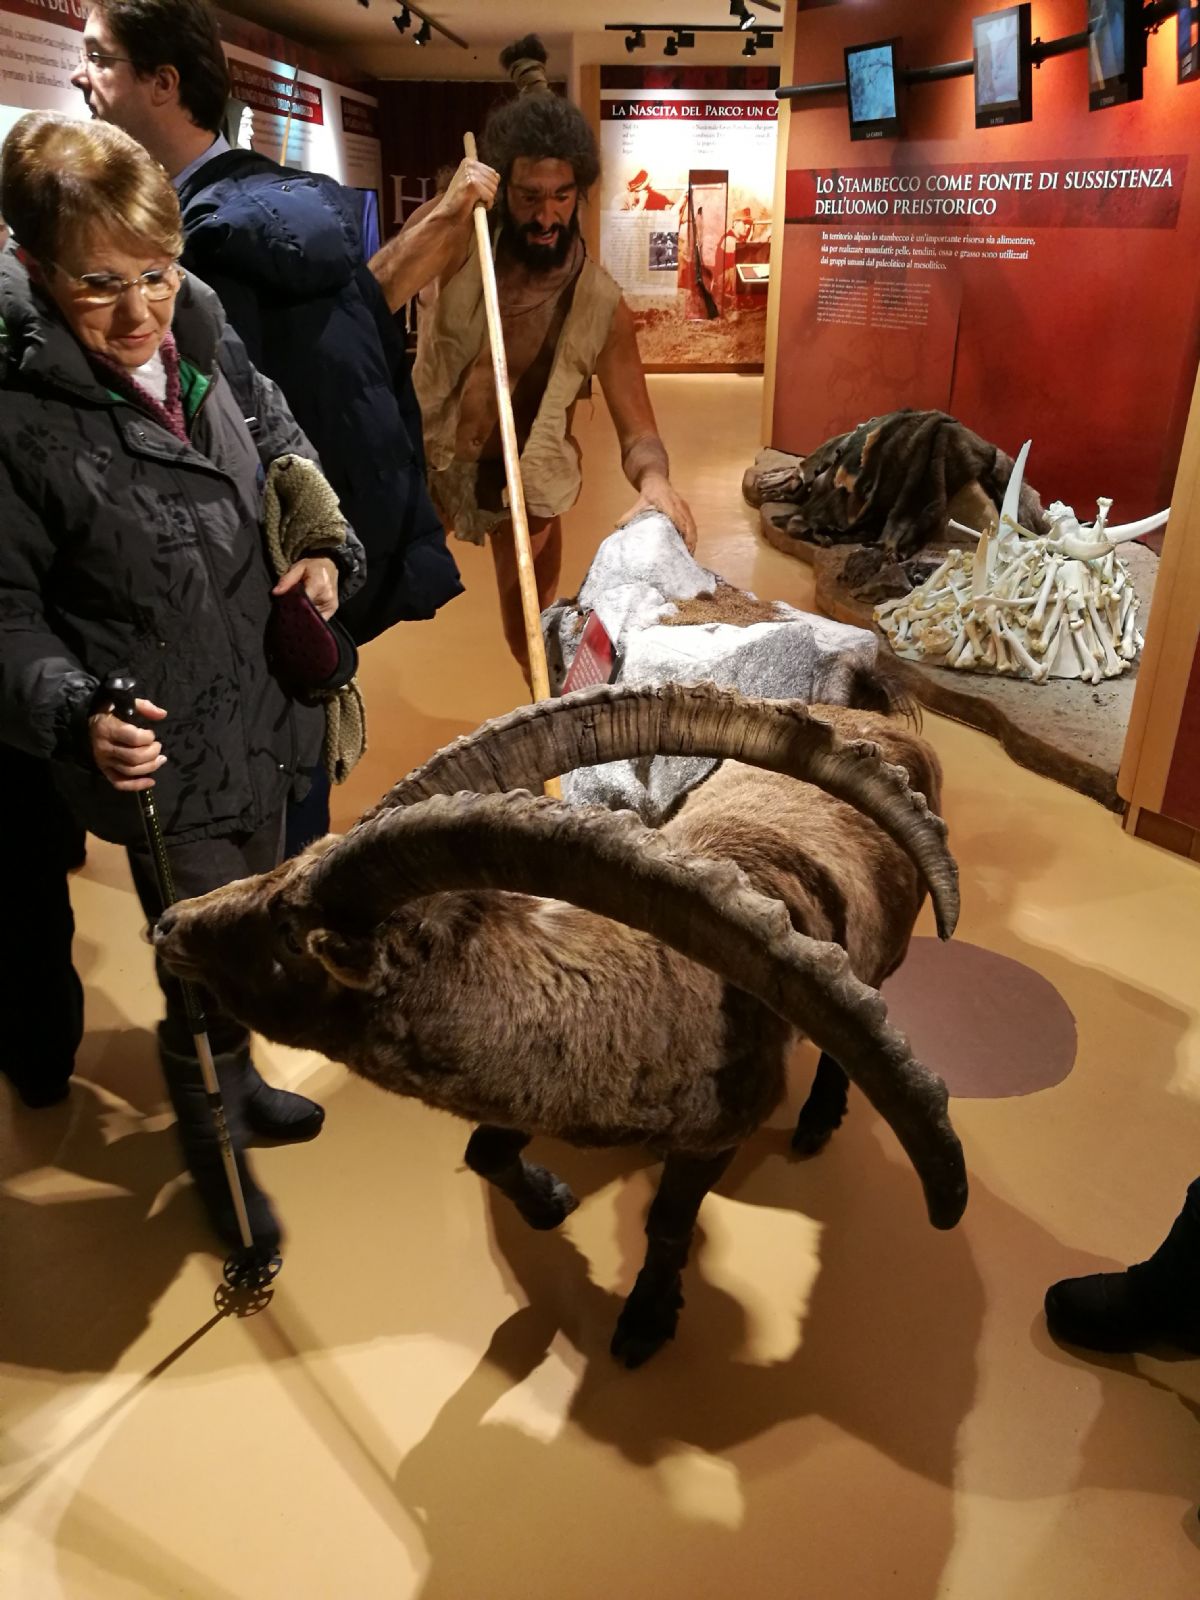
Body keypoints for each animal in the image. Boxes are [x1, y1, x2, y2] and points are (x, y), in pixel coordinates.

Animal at [154, 682, 967, 1367]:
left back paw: (820, 1116)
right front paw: (550, 1203)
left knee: (852, 1030)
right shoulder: (533, 1093)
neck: (629, 1002)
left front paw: (645, 1320)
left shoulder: (717, 1133)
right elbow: (486, 1150)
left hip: (885, 959)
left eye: (293, 937)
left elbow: (668, 1224)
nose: (170, 923)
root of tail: (890, 728)